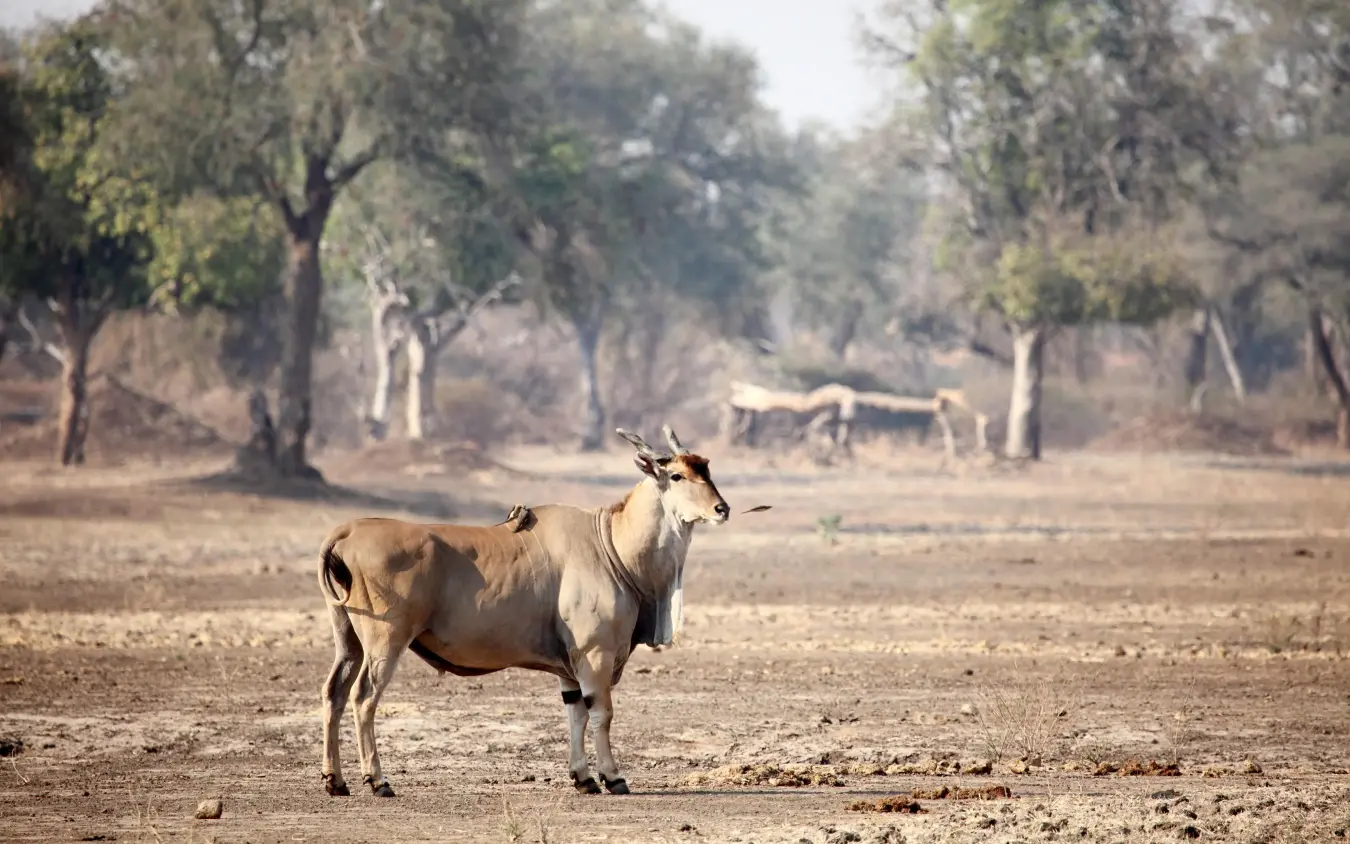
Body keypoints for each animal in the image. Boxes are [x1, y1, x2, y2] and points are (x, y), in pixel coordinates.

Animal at [316, 425, 730, 797]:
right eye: (676, 475)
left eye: (707, 469)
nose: (722, 509)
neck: (611, 544)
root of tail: (346, 533)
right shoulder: (594, 654)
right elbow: (601, 714)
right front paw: (612, 777)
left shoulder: (569, 667)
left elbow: (575, 713)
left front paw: (583, 778)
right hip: (385, 642)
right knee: (364, 697)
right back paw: (378, 780)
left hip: (348, 641)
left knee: (334, 693)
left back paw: (336, 781)